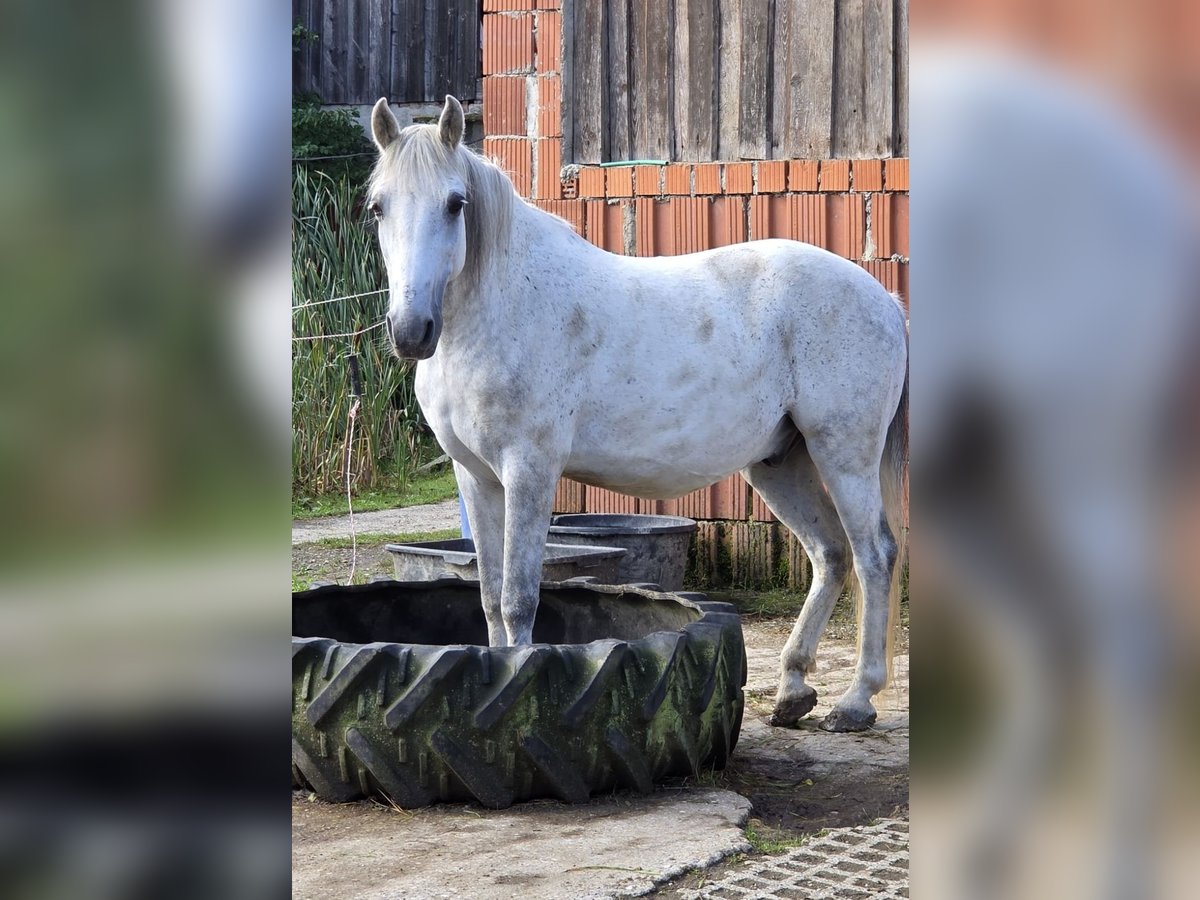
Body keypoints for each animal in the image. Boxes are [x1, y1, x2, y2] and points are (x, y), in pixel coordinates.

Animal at [366, 95, 908, 732]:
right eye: (378, 207)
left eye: (456, 203)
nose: (411, 331)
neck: (501, 306)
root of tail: (882, 298)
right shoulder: (476, 477)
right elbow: (490, 598)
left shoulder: (529, 472)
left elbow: (518, 597)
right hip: (779, 464)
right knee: (831, 553)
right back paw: (793, 690)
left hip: (844, 454)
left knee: (874, 555)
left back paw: (856, 701)